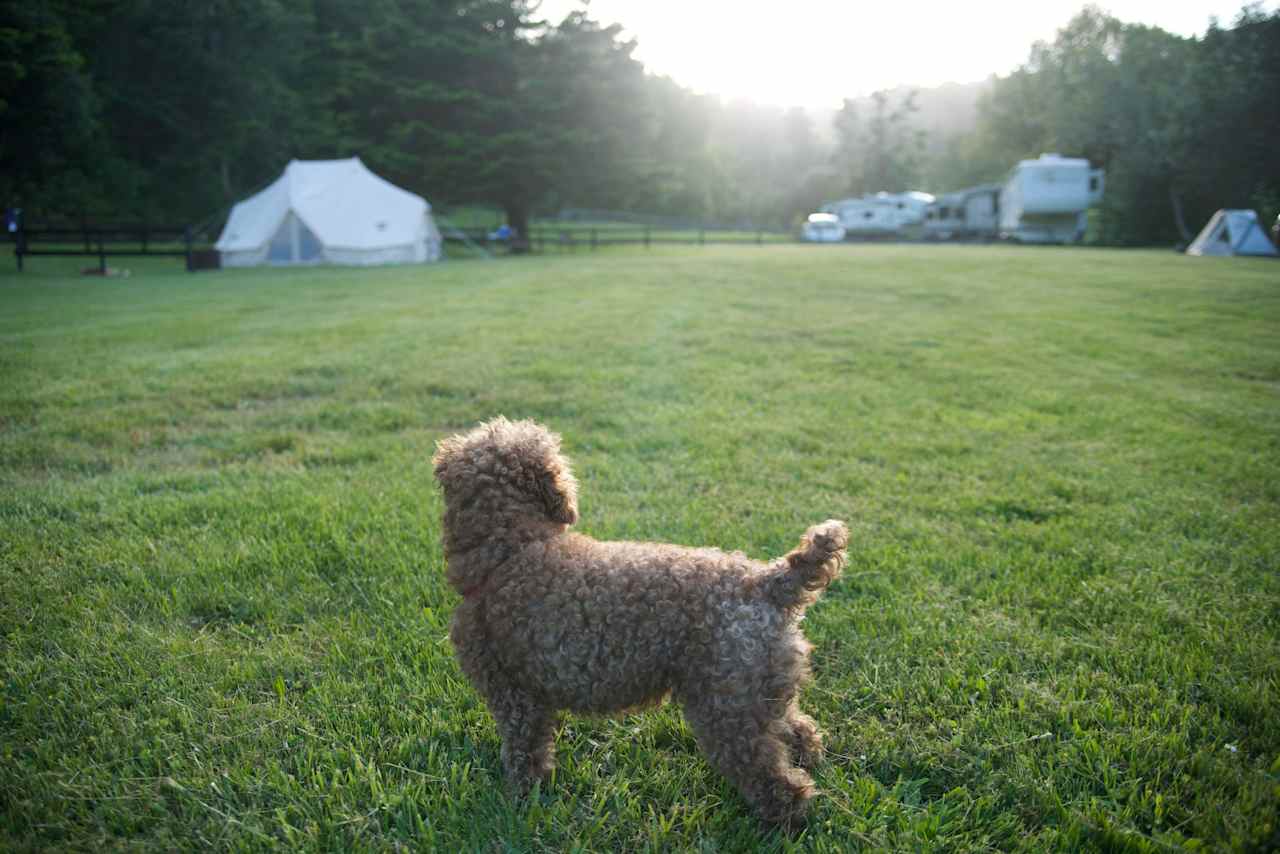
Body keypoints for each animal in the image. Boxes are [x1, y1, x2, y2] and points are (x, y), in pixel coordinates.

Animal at [432, 417, 849, 824]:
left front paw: (520, 798)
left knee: (775, 778)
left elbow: (524, 751)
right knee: (798, 728)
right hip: (758, 689)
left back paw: (781, 821)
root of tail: (766, 581)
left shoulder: (514, 693)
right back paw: (811, 760)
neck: (513, 550)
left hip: (727, 706)